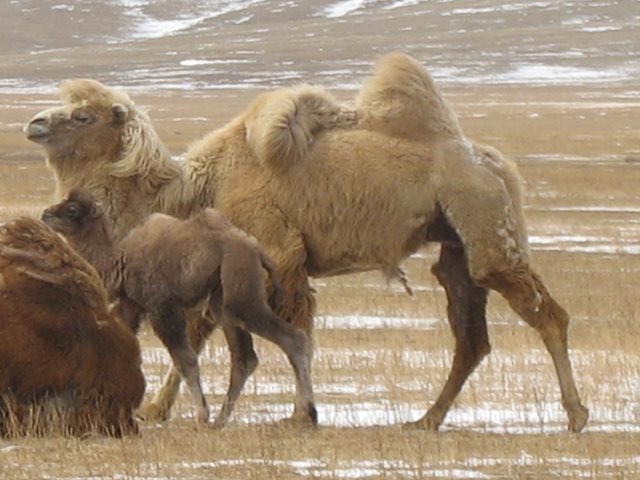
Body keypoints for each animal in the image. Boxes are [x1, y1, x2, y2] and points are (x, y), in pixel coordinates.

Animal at [41, 189, 316, 426]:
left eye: (72, 209)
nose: (45, 214)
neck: (120, 260)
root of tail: (258, 251)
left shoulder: (161, 307)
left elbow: (185, 359)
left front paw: (201, 415)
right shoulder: (132, 305)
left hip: (242, 296)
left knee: (293, 339)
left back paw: (307, 415)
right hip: (223, 304)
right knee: (244, 357)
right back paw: (221, 420)